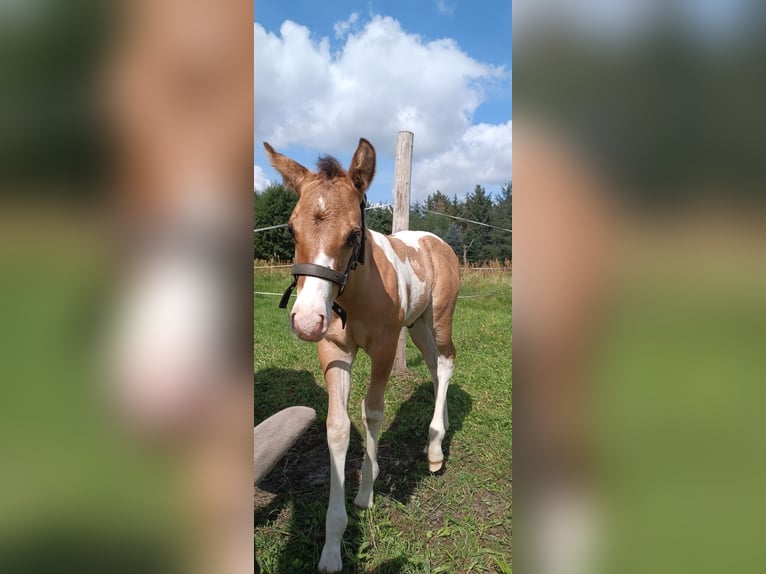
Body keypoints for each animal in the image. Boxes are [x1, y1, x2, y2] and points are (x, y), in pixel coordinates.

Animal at [264, 138, 462, 572]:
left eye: (355, 235)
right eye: (290, 228)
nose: (307, 320)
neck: (354, 293)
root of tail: (436, 240)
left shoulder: (385, 347)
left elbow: (372, 413)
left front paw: (366, 493)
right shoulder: (334, 352)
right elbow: (338, 428)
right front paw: (332, 547)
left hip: (439, 318)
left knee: (447, 361)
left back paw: (435, 449)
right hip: (416, 326)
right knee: (434, 366)